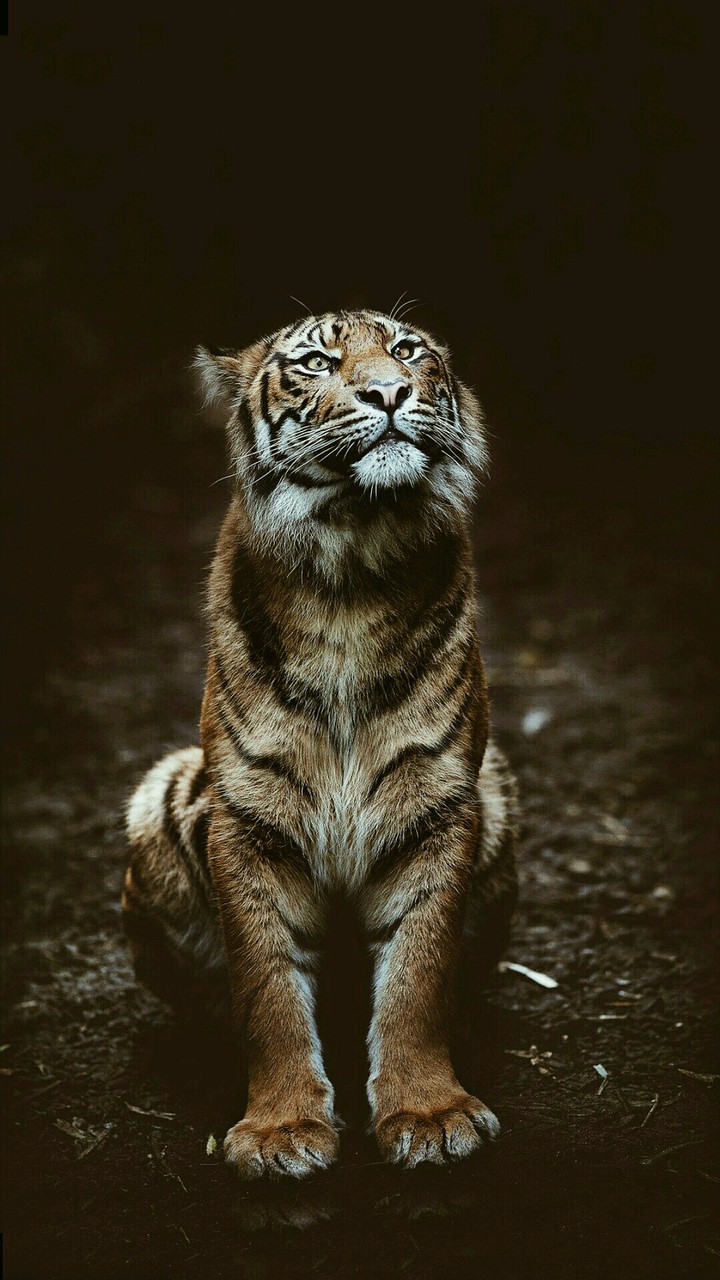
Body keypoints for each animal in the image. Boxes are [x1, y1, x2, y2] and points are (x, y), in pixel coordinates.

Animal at [122, 308, 518, 1180]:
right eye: (315, 362)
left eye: (407, 350)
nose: (390, 391)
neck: (352, 574)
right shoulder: (249, 816)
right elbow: (267, 986)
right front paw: (279, 1131)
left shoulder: (440, 803)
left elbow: (417, 976)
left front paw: (428, 1114)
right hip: (160, 797)